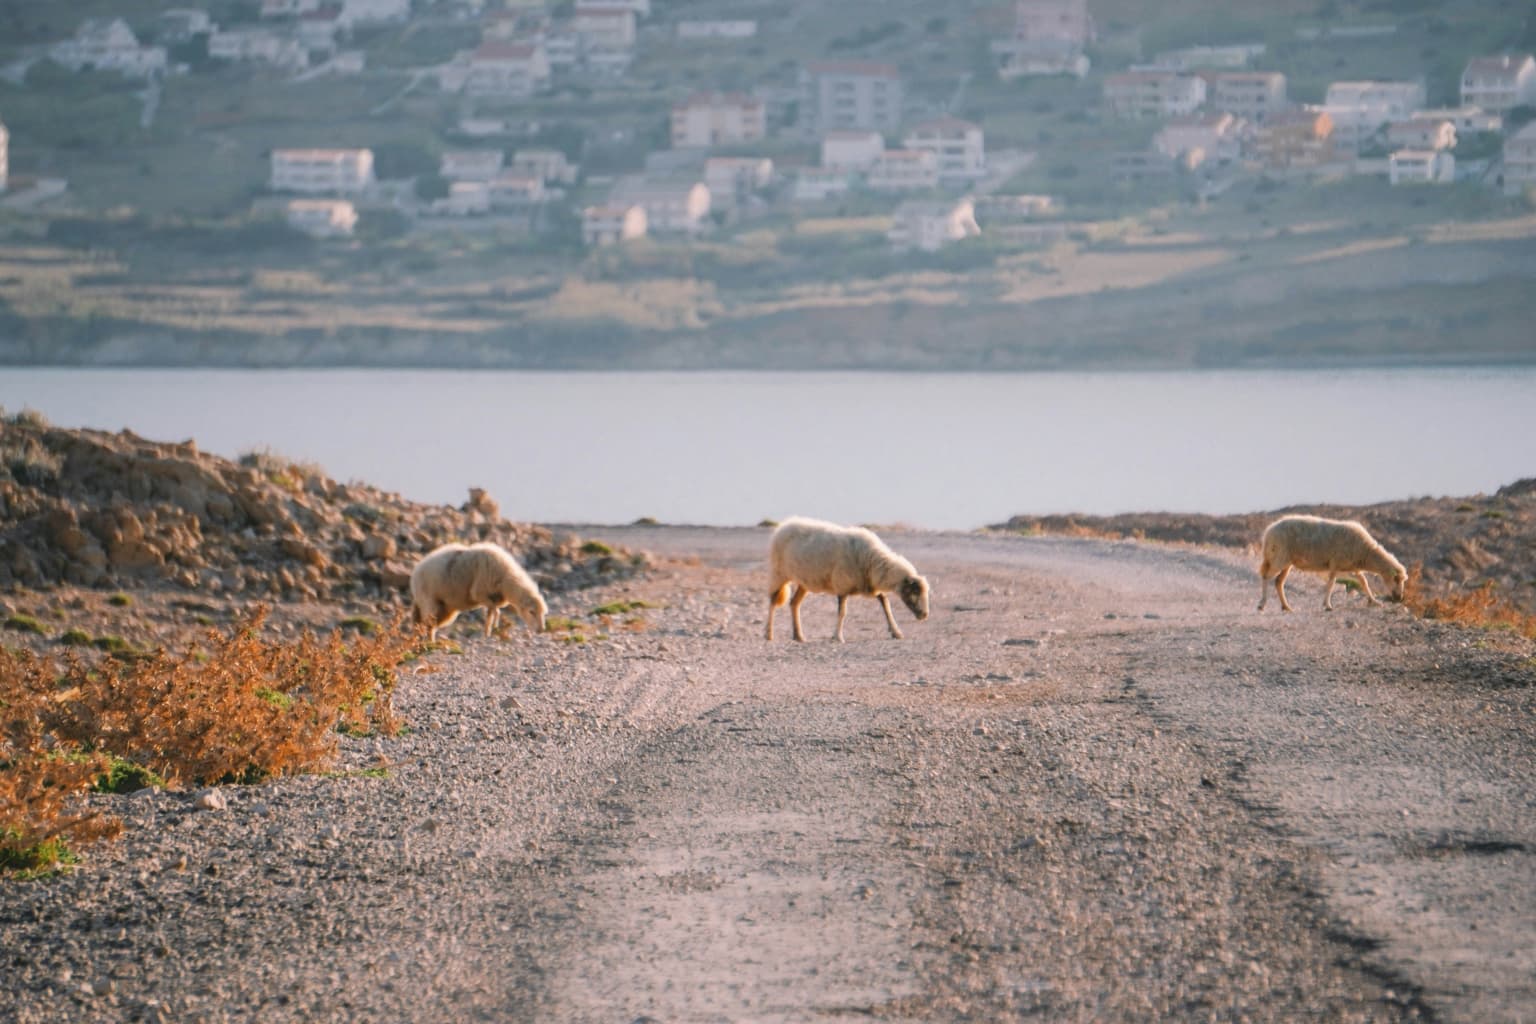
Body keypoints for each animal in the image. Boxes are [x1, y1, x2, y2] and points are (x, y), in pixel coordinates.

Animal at [410, 542, 546, 641]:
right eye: (531, 611)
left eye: (544, 613)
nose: (541, 630)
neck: (505, 578)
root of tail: (415, 572)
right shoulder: (479, 594)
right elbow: (495, 611)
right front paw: (495, 626)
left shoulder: (491, 598)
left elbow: (490, 614)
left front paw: (487, 633)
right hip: (429, 602)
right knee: (427, 625)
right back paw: (430, 643)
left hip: (445, 608)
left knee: (426, 625)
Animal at [766, 516, 930, 642]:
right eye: (913, 592)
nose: (924, 615)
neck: (872, 560)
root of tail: (784, 525)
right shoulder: (842, 585)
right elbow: (842, 612)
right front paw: (837, 637)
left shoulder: (869, 585)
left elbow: (885, 603)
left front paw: (896, 632)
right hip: (778, 573)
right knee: (773, 602)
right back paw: (768, 634)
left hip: (803, 581)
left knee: (794, 603)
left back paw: (798, 636)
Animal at [1257, 514, 1407, 613]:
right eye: (1396, 579)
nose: (1399, 598)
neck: (1366, 551)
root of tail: (1268, 532)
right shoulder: (1336, 563)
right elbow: (1331, 584)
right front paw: (1328, 605)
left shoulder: (1351, 566)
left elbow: (1363, 581)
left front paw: (1374, 601)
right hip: (1278, 557)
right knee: (1266, 576)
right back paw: (1262, 604)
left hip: (1286, 562)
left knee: (1278, 582)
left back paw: (1286, 607)